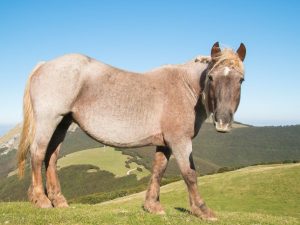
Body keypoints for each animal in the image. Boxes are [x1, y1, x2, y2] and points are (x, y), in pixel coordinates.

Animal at [17, 41, 246, 220]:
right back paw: (41, 199)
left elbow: (158, 170)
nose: (223, 122)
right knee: (38, 154)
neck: (184, 87)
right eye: (211, 78)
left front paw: (153, 206)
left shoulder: (165, 143)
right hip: (48, 120)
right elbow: (189, 174)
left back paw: (58, 200)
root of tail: (44, 64)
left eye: (241, 80)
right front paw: (203, 210)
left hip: (62, 123)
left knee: (51, 157)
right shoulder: (180, 141)